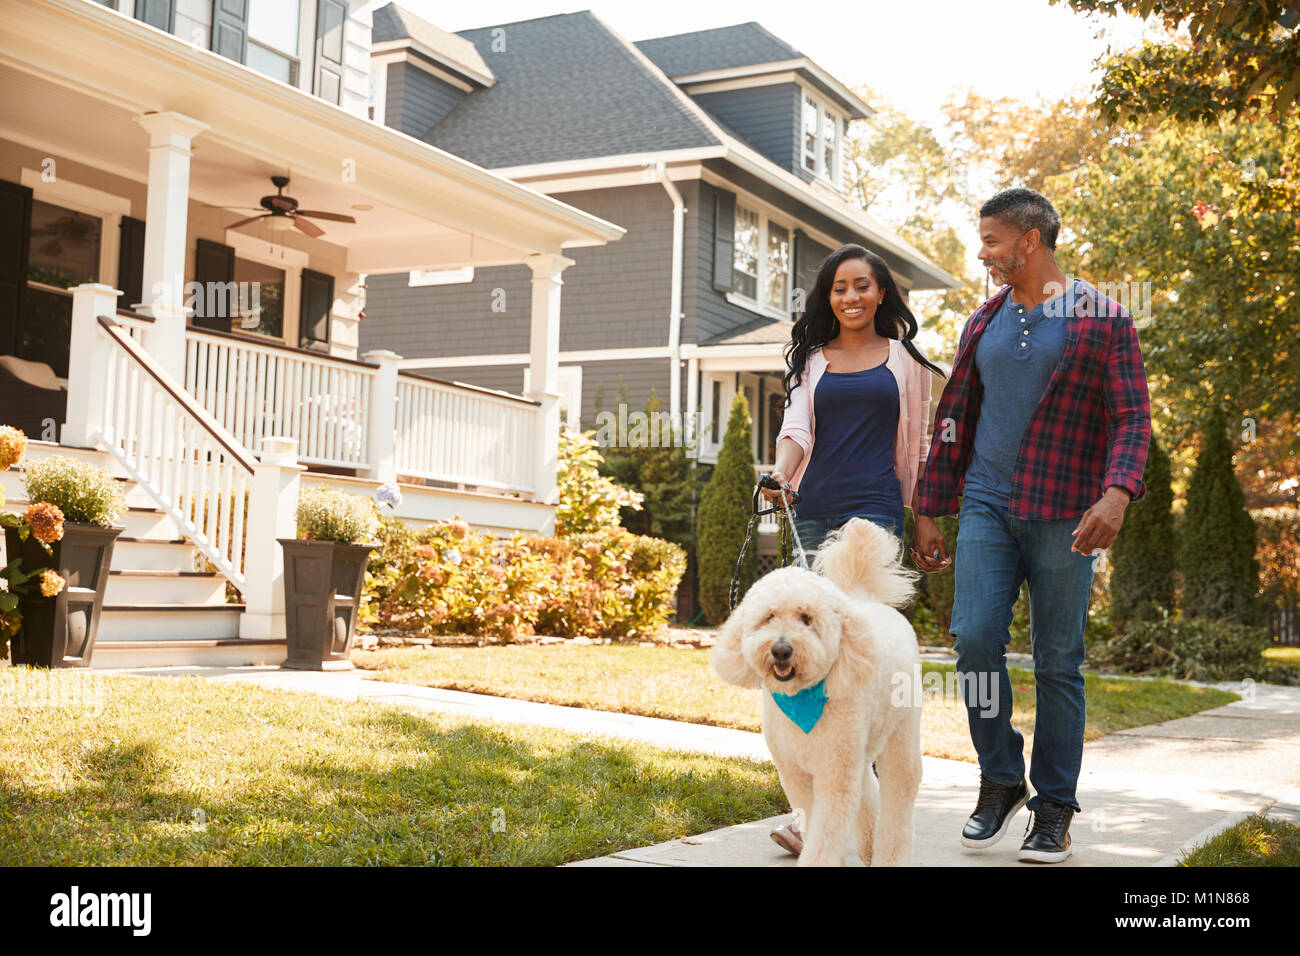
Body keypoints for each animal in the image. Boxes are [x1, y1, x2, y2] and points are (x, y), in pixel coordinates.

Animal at [712, 520, 925, 868]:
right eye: (769, 616)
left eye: (806, 618)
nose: (781, 650)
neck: (800, 699)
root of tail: (866, 599)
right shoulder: (796, 774)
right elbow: (812, 822)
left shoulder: (833, 775)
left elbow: (825, 834)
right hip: (859, 747)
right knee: (867, 787)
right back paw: (868, 847)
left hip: (900, 733)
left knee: (900, 788)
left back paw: (889, 856)